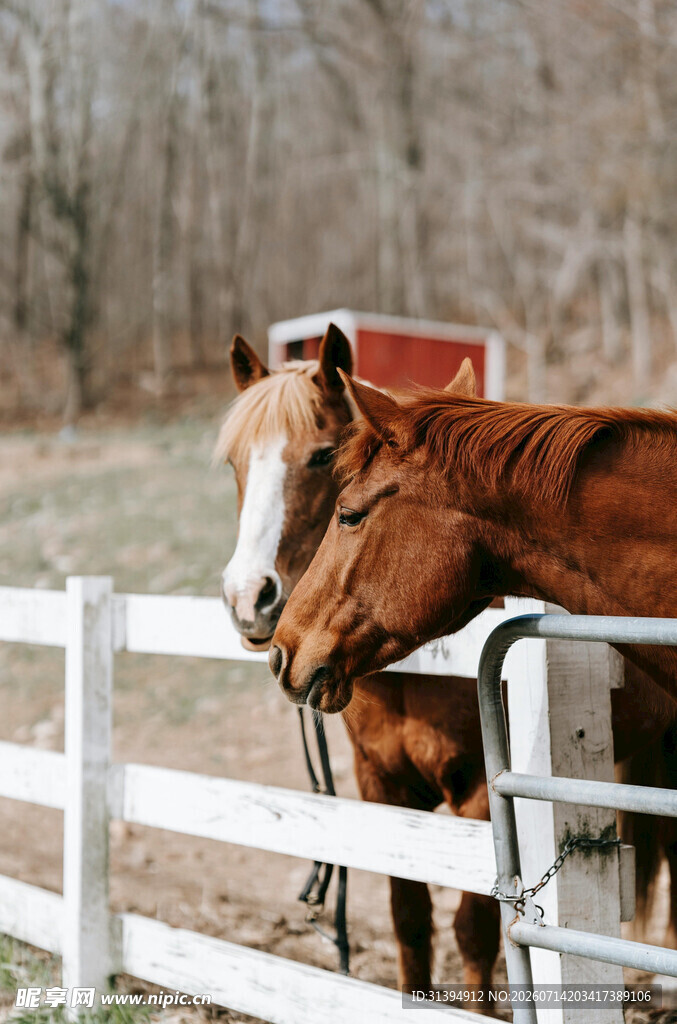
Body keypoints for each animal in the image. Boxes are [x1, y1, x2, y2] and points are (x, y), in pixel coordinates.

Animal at [217, 328, 677, 996]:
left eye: (327, 468)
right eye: (234, 464)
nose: (255, 609)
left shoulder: (481, 795)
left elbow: (473, 932)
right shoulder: (382, 788)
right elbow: (410, 920)